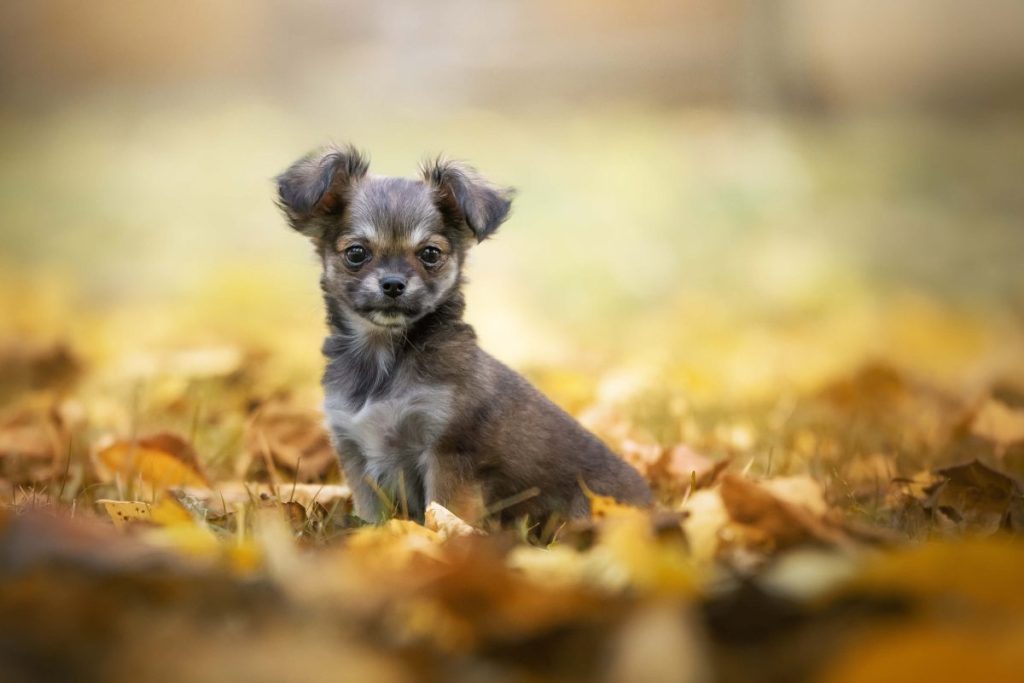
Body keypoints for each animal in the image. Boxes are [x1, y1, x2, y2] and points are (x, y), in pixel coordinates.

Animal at [276, 145, 651, 528]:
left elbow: (443, 513)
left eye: (430, 254)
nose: (393, 284)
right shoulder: (355, 451)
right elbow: (372, 516)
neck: (383, 358)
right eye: (356, 253)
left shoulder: (448, 453)